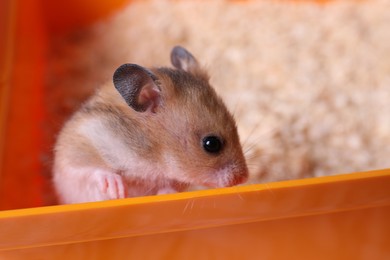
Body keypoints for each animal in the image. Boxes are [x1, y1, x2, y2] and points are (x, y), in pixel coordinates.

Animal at [52, 46, 247, 204]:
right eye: (211, 144)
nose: (243, 178)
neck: (153, 155)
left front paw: (165, 193)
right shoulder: (80, 144)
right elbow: (91, 170)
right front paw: (118, 191)